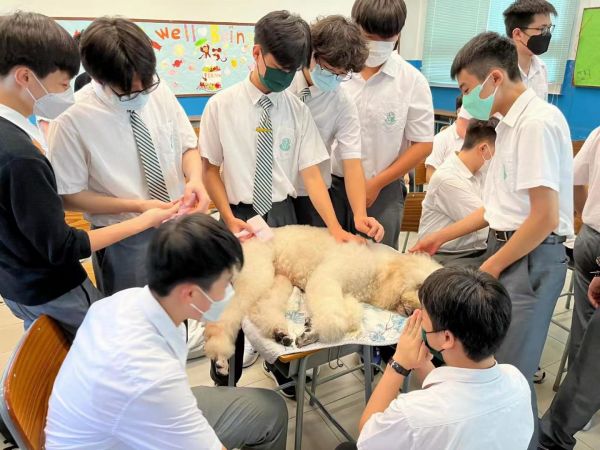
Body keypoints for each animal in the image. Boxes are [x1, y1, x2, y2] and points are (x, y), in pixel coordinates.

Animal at [204, 225, 442, 374]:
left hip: (278, 280)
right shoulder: (327, 277)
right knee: (226, 317)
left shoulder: (349, 294)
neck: (380, 270)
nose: (415, 312)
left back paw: (280, 333)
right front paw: (314, 332)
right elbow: (335, 320)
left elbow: (350, 317)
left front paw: (310, 329)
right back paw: (220, 358)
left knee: (260, 308)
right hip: (257, 274)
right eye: (420, 289)